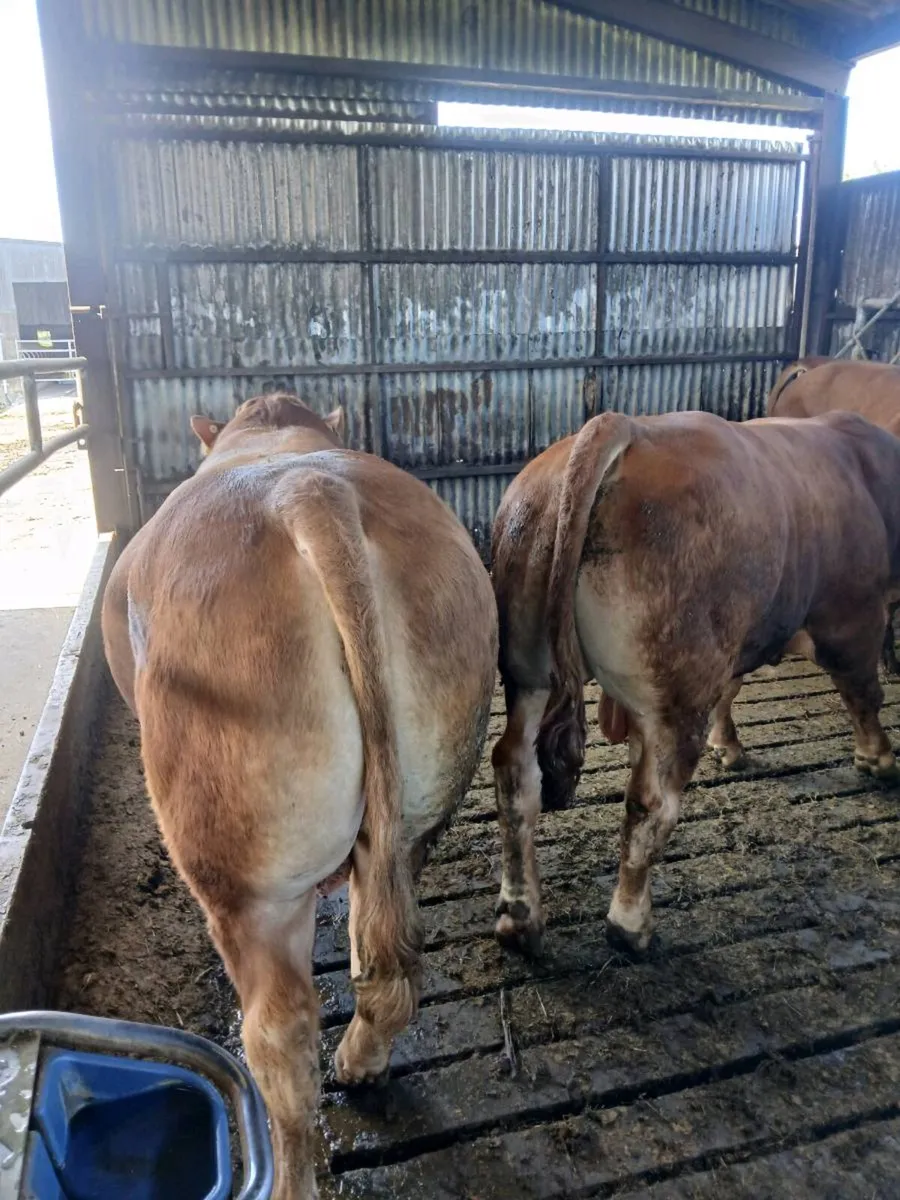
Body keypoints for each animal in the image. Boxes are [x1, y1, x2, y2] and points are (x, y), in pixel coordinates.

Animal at [101, 393, 498, 1200]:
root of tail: (310, 494)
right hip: (415, 811)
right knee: (387, 955)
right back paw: (361, 1063)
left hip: (249, 882)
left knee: (279, 1035)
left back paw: (290, 1172)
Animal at [491, 409, 900, 962]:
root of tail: (623, 427)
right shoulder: (852, 617)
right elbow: (863, 694)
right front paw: (878, 758)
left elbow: (733, 690)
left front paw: (728, 745)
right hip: (676, 695)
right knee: (650, 802)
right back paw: (630, 925)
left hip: (528, 670)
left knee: (515, 772)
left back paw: (520, 918)